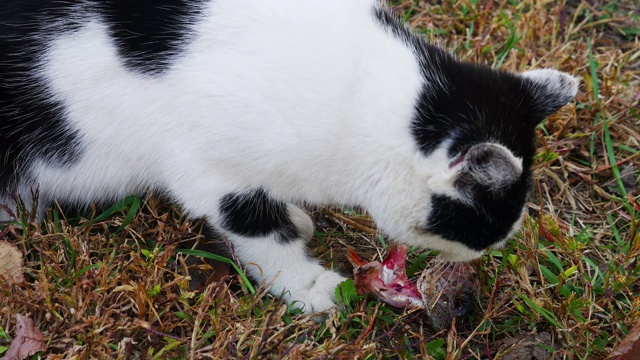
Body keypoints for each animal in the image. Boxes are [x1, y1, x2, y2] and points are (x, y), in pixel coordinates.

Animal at [1, 0, 580, 314]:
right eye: (487, 228)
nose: (489, 252)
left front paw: (297, 218)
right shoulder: (213, 171)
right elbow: (260, 231)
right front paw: (310, 287)